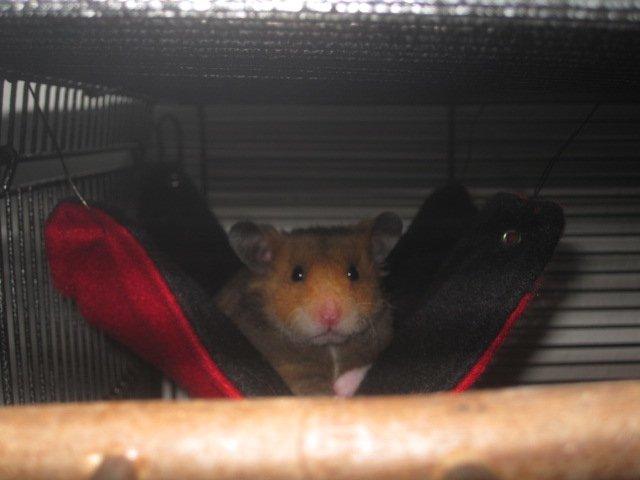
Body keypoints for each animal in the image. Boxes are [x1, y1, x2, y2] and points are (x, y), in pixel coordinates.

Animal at [215, 212, 403, 396]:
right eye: (296, 274)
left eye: (354, 273)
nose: (330, 316)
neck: (330, 346)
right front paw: (338, 388)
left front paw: (341, 384)